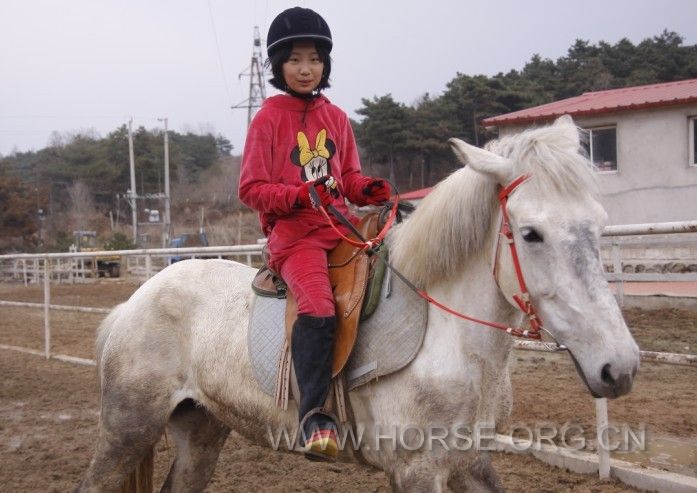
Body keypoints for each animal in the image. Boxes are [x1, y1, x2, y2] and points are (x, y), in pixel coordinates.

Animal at [79, 115, 640, 488]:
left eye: (599, 225)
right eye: (530, 234)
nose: (620, 367)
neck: (451, 342)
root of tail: (134, 302)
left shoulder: (469, 462)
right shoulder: (417, 470)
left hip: (201, 430)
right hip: (127, 431)